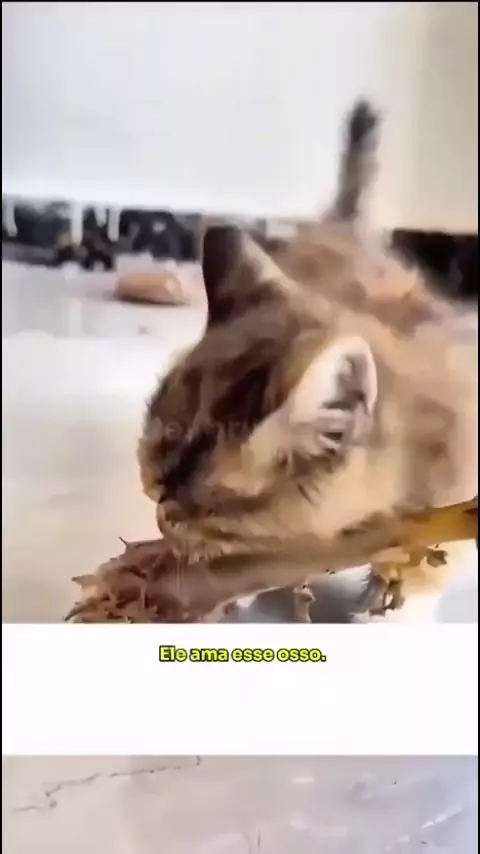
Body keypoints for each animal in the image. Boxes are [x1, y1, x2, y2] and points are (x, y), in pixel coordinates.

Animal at [138, 101, 477, 622]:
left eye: (205, 513)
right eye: (151, 479)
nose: (160, 514)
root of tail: (344, 225)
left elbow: (427, 563)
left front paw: (393, 599)